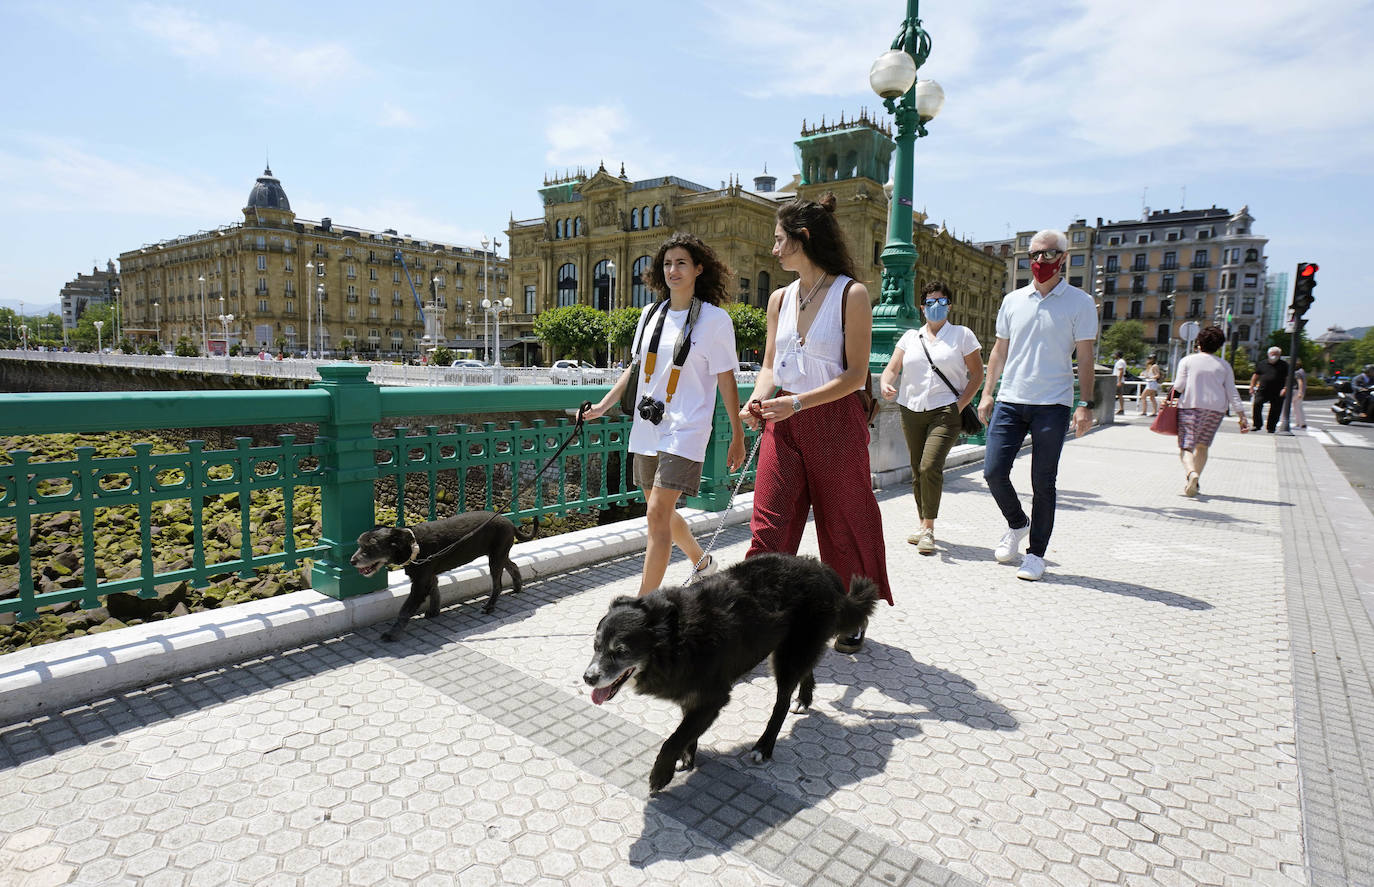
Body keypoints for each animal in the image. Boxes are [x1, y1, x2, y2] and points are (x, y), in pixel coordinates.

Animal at [348, 513, 535, 645]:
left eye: (370, 548)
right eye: (359, 545)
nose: (352, 561)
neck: (413, 545)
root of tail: (509, 522)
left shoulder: (420, 583)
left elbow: (405, 610)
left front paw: (392, 634)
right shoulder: (428, 576)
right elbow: (435, 590)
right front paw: (434, 611)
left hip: (495, 558)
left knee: (497, 584)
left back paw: (489, 607)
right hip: (499, 554)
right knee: (512, 565)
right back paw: (517, 586)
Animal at [582, 551, 879, 796]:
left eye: (620, 651)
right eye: (596, 646)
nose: (588, 678)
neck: (677, 638)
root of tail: (823, 572)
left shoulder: (713, 697)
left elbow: (674, 738)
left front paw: (660, 774)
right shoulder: (691, 694)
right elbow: (687, 731)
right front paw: (687, 758)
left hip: (788, 655)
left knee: (781, 702)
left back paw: (764, 746)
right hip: (794, 648)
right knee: (807, 671)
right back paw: (803, 700)